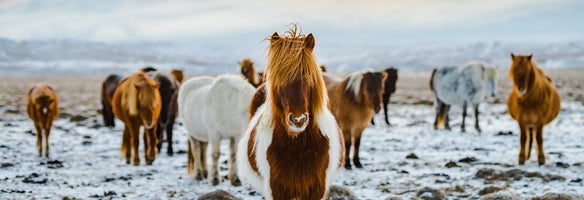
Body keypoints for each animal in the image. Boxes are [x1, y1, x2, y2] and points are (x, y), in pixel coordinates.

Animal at [237, 27, 344, 200]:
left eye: (309, 75)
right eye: (279, 79)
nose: (298, 120)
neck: (298, 147)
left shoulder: (317, 188)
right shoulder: (276, 189)